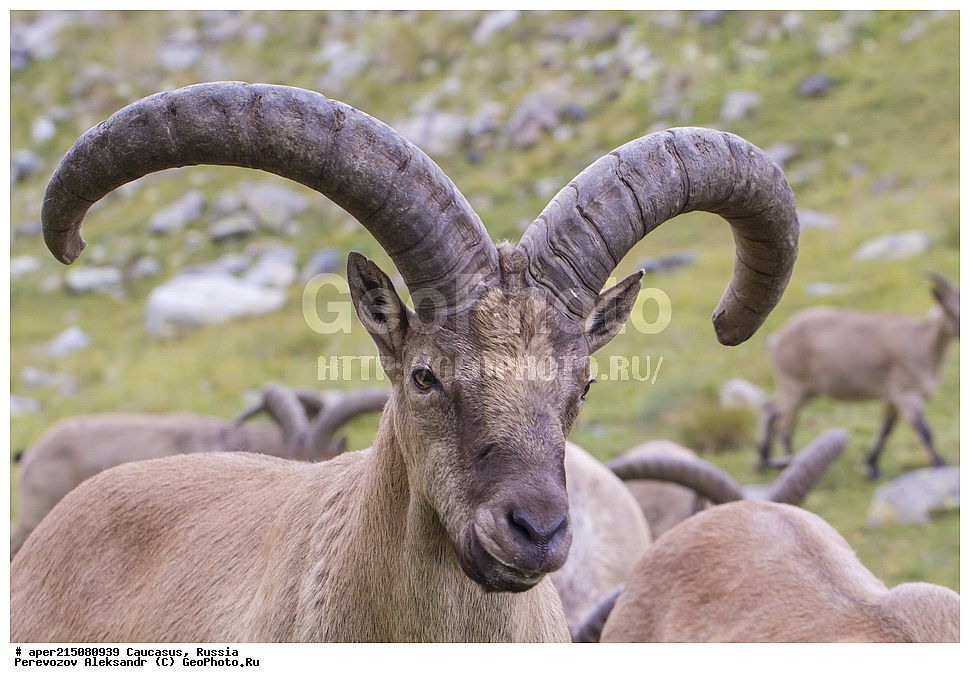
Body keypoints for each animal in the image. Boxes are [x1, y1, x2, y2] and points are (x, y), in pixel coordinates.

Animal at [758, 274, 959, 479]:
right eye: (950, 310)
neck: (923, 344)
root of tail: (775, 339)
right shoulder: (905, 393)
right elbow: (924, 430)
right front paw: (940, 465)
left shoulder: (892, 398)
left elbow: (886, 430)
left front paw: (872, 466)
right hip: (794, 385)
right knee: (785, 429)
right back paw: (788, 464)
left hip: (807, 390)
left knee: (771, 409)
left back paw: (764, 461)